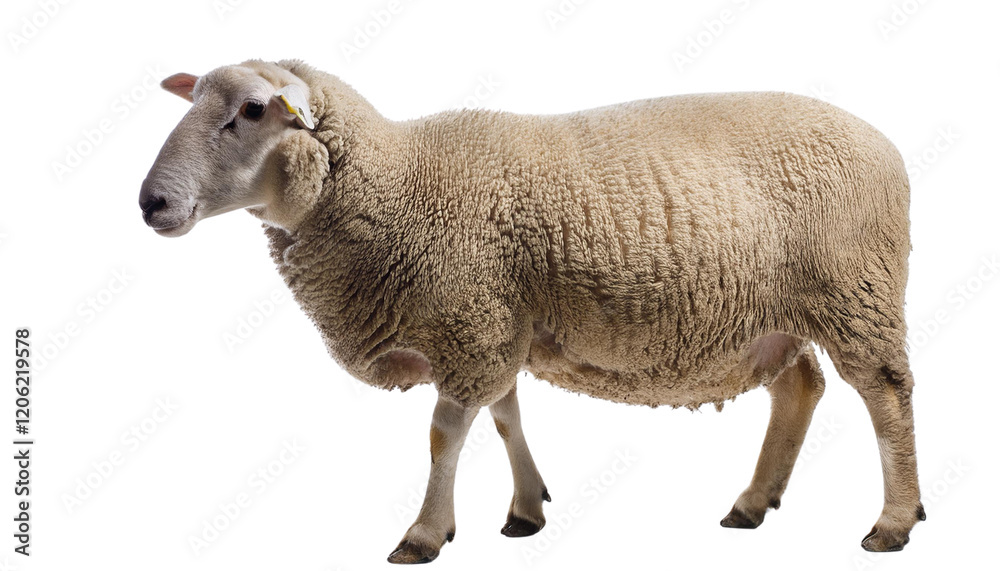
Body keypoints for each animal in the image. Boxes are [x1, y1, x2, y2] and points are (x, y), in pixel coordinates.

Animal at [139, 59, 923, 563]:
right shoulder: (493, 320)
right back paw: (754, 502)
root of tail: (885, 144)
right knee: (801, 388)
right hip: (776, 311)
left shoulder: (470, 319)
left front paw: (424, 534)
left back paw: (892, 522)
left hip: (857, 291)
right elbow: (505, 413)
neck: (399, 181)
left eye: (251, 111)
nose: (151, 202)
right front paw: (525, 509)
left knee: (886, 397)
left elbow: (445, 433)